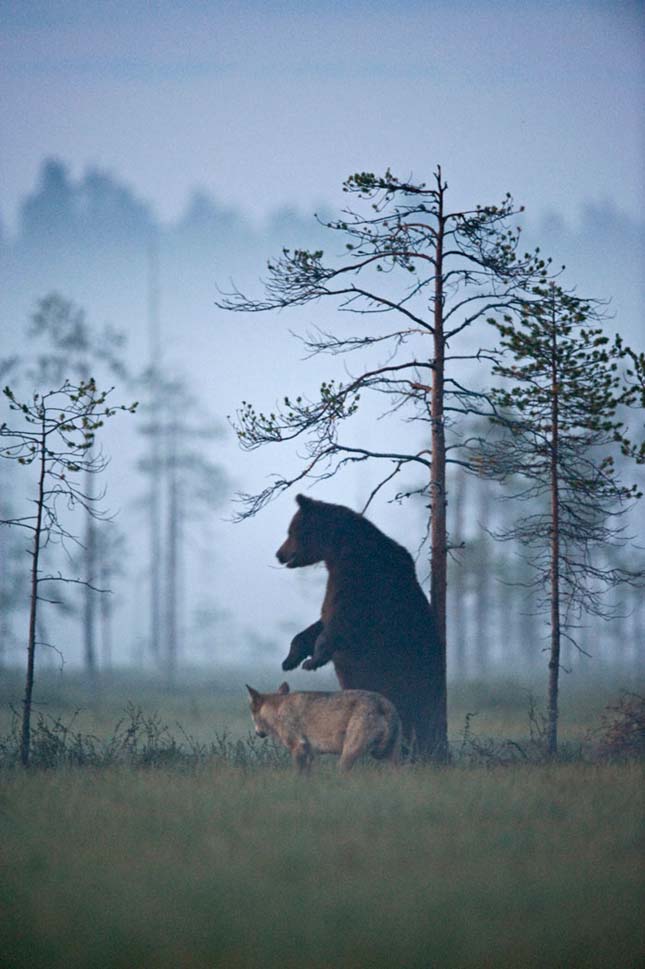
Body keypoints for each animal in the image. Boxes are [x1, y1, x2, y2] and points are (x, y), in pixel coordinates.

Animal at [245, 680, 400, 772]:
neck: (278, 710)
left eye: (251, 713)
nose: (257, 733)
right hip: (390, 759)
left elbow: (297, 775)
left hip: (347, 756)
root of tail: (384, 703)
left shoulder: (298, 746)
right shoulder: (309, 753)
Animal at [274, 492, 440, 756]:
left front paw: (313, 660)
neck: (338, 551)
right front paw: (291, 658)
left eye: (291, 531)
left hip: (406, 673)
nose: (279, 554)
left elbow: (341, 621)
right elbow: (320, 622)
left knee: (412, 711)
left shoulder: (361, 580)